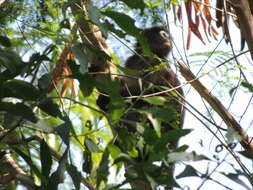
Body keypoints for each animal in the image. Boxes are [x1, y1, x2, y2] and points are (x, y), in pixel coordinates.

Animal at [96, 26, 184, 189]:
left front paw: (104, 96)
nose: (168, 37)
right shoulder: (132, 61)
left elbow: (148, 95)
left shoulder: (158, 63)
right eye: (163, 34)